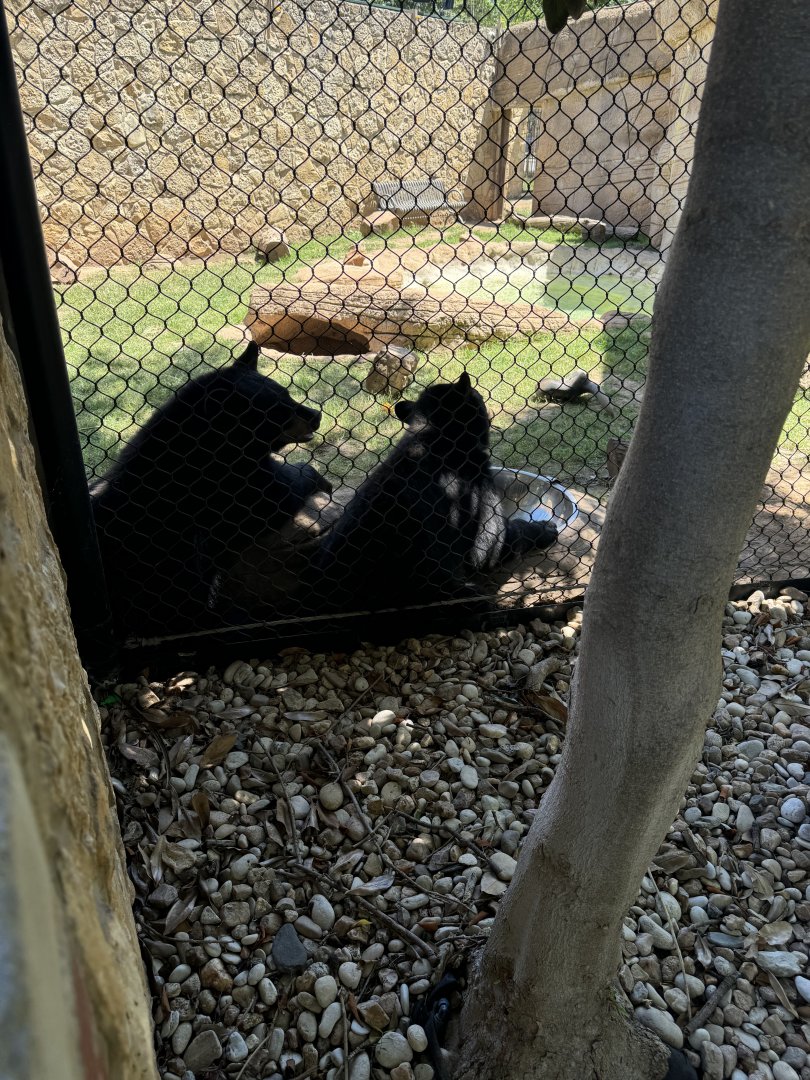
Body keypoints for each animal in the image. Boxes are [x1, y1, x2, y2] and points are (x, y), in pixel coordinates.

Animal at [90, 341, 328, 637]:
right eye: (277, 411)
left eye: (287, 394)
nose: (316, 415)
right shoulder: (225, 484)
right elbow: (275, 494)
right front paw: (313, 474)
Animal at [307, 371, 558, 615]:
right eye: (478, 399)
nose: (489, 412)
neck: (435, 435)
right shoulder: (483, 521)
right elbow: (510, 534)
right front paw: (545, 529)